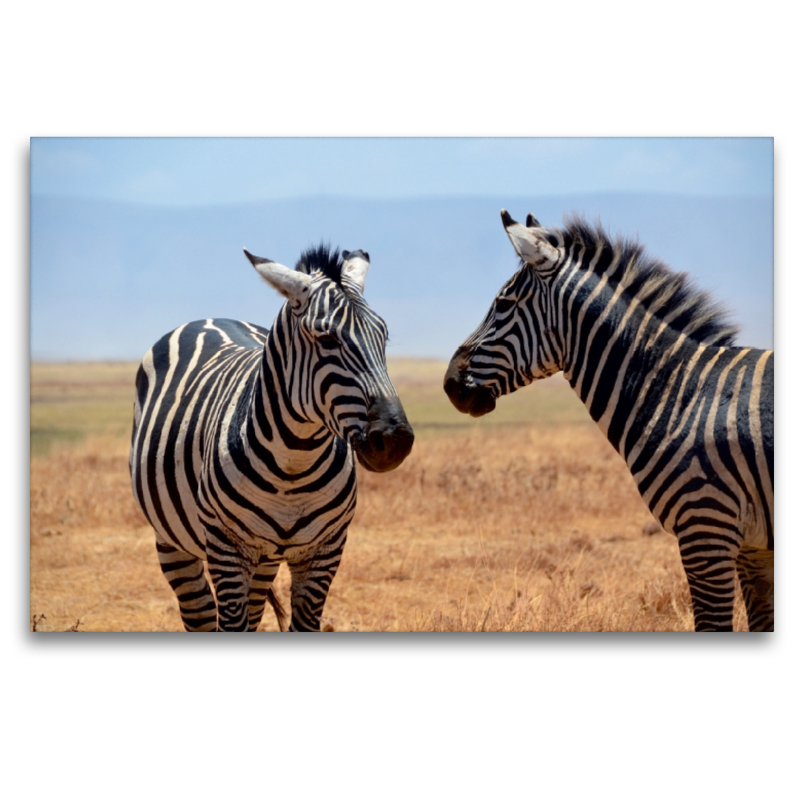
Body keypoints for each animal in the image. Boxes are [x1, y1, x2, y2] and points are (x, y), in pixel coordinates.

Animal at [128, 244, 416, 632]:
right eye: (327, 339)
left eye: (382, 337)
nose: (394, 439)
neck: (294, 465)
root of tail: (210, 318)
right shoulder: (228, 548)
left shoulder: (326, 549)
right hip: (171, 541)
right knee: (199, 614)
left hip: (264, 561)